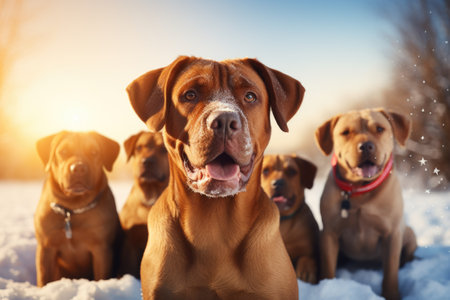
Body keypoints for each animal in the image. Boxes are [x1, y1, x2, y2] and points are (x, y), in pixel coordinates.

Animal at [35, 131, 122, 286]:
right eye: (63, 152)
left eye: (94, 152)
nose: (79, 168)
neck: (73, 207)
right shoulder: (46, 247)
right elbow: (44, 279)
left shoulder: (101, 249)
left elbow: (102, 276)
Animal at [260, 155, 320, 284]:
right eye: (265, 171)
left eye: (292, 171)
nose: (277, 183)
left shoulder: (309, 251)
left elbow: (307, 258)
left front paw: (306, 271)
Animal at [314, 108, 416, 300]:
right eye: (346, 132)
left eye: (379, 128)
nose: (366, 146)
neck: (359, 189)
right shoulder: (329, 233)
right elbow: (328, 267)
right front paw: (328, 286)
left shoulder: (392, 234)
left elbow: (390, 272)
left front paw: (391, 294)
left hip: (409, 232)